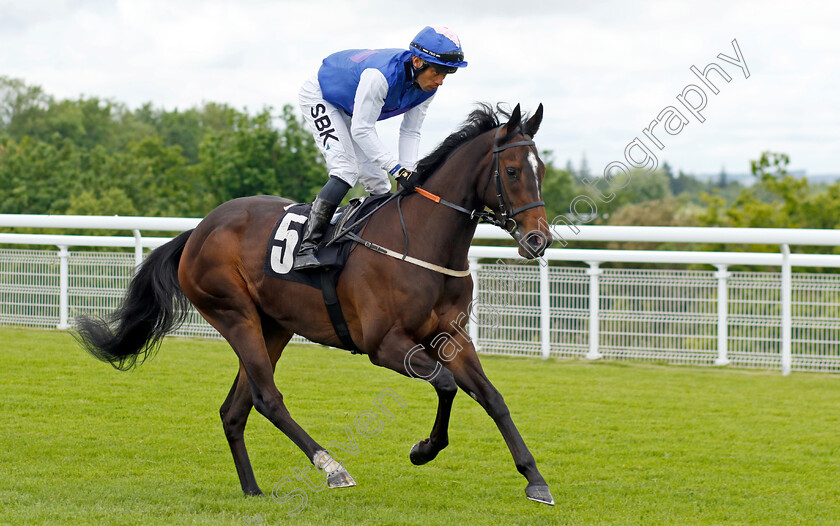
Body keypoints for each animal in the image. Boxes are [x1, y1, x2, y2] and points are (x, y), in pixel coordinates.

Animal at [74, 102, 556, 508]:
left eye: (543, 170)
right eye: (512, 170)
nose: (538, 239)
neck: (421, 242)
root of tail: (198, 230)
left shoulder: (451, 337)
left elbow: (492, 398)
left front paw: (535, 480)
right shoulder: (384, 345)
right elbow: (446, 384)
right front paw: (423, 450)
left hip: (274, 326)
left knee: (235, 409)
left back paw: (252, 490)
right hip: (235, 315)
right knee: (268, 398)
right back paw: (332, 467)